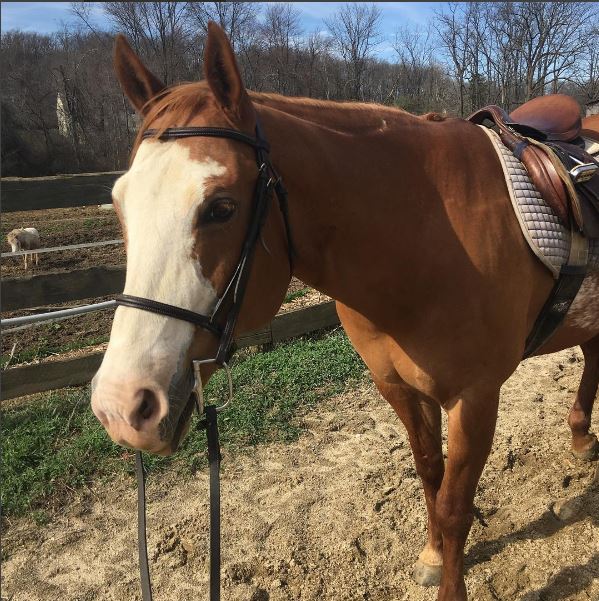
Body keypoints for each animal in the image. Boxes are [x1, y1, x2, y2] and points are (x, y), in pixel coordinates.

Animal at [91, 23, 599, 601]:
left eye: (220, 207)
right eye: (119, 204)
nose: (121, 406)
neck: (427, 240)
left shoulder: (475, 398)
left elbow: (454, 505)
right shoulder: (398, 386)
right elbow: (429, 472)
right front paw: (431, 555)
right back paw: (581, 436)